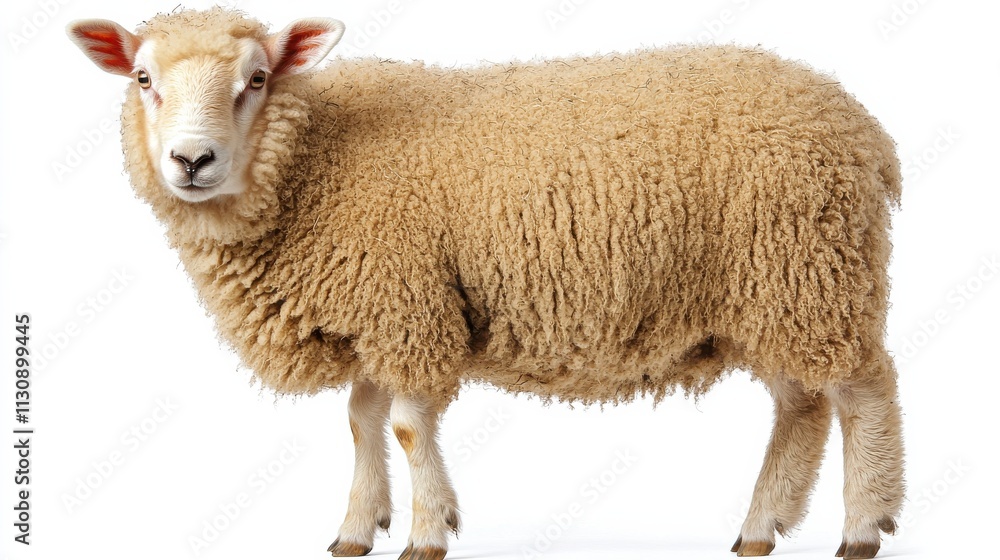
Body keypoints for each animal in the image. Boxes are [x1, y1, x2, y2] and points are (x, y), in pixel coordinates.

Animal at [67, 7, 905, 560]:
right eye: (143, 78)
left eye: (258, 78)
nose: (191, 161)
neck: (315, 162)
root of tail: (864, 130)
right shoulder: (378, 310)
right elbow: (361, 421)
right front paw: (356, 528)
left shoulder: (408, 303)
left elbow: (406, 426)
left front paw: (426, 532)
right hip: (772, 293)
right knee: (801, 404)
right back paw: (760, 529)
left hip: (811, 270)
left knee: (864, 390)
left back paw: (862, 528)